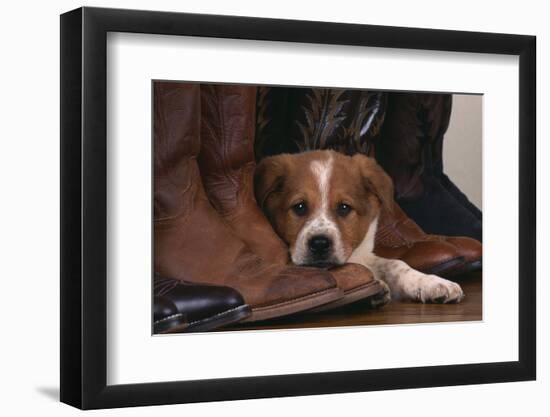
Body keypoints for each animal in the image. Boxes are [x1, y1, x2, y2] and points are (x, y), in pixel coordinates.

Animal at [256, 150, 464, 302]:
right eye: (299, 207)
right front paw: (379, 287)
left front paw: (429, 282)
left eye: (344, 208)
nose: (320, 244)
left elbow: (396, 263)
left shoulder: (363, 254)